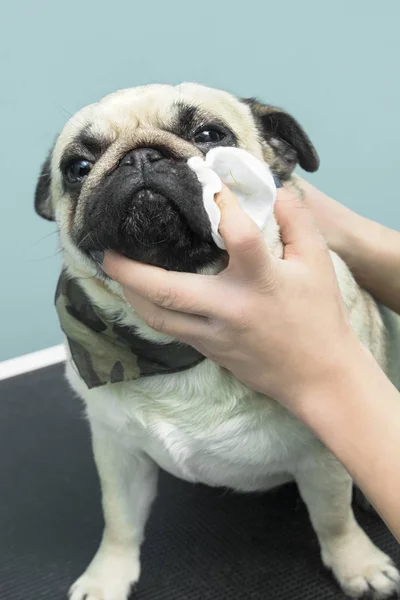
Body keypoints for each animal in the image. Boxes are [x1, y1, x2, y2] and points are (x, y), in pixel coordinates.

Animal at [35, 82, 400, 596]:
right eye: (78, 168)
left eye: (209, 135)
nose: (140, 156)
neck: (176, 345)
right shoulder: (117, 452)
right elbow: (119, 521)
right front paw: (107, 577)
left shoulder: (323, 460)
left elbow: (334, 520)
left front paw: (358, 565)